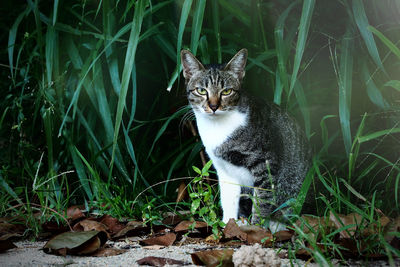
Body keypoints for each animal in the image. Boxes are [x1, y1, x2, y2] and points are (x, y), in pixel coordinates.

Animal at [181, 48, 312, 226]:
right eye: (201, 90)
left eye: (226, 91)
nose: (214, 106)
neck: (218, 128)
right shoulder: (224, 170)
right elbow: (228, 200)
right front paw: (227, 225)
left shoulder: (266, 164)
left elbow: (262, 202)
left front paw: (256, 228)